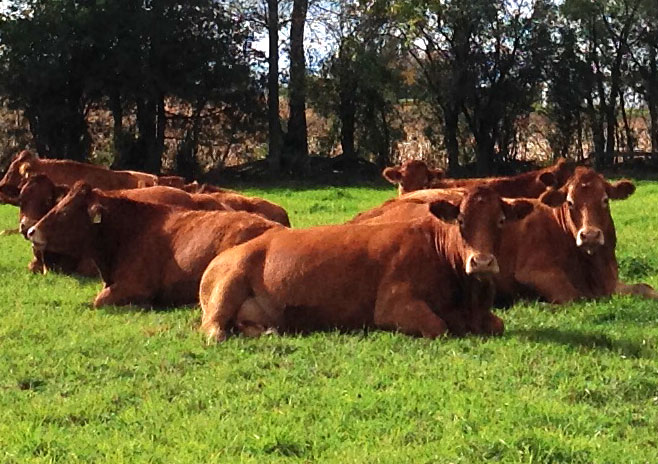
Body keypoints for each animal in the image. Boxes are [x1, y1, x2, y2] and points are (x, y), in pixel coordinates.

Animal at [200, 185, 540, 340]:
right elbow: (438, 326)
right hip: (227, 286)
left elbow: (497, 324)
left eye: (500, 220)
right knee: (212, 330)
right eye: (460, 220)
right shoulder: (393, 304)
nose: (481, 262)